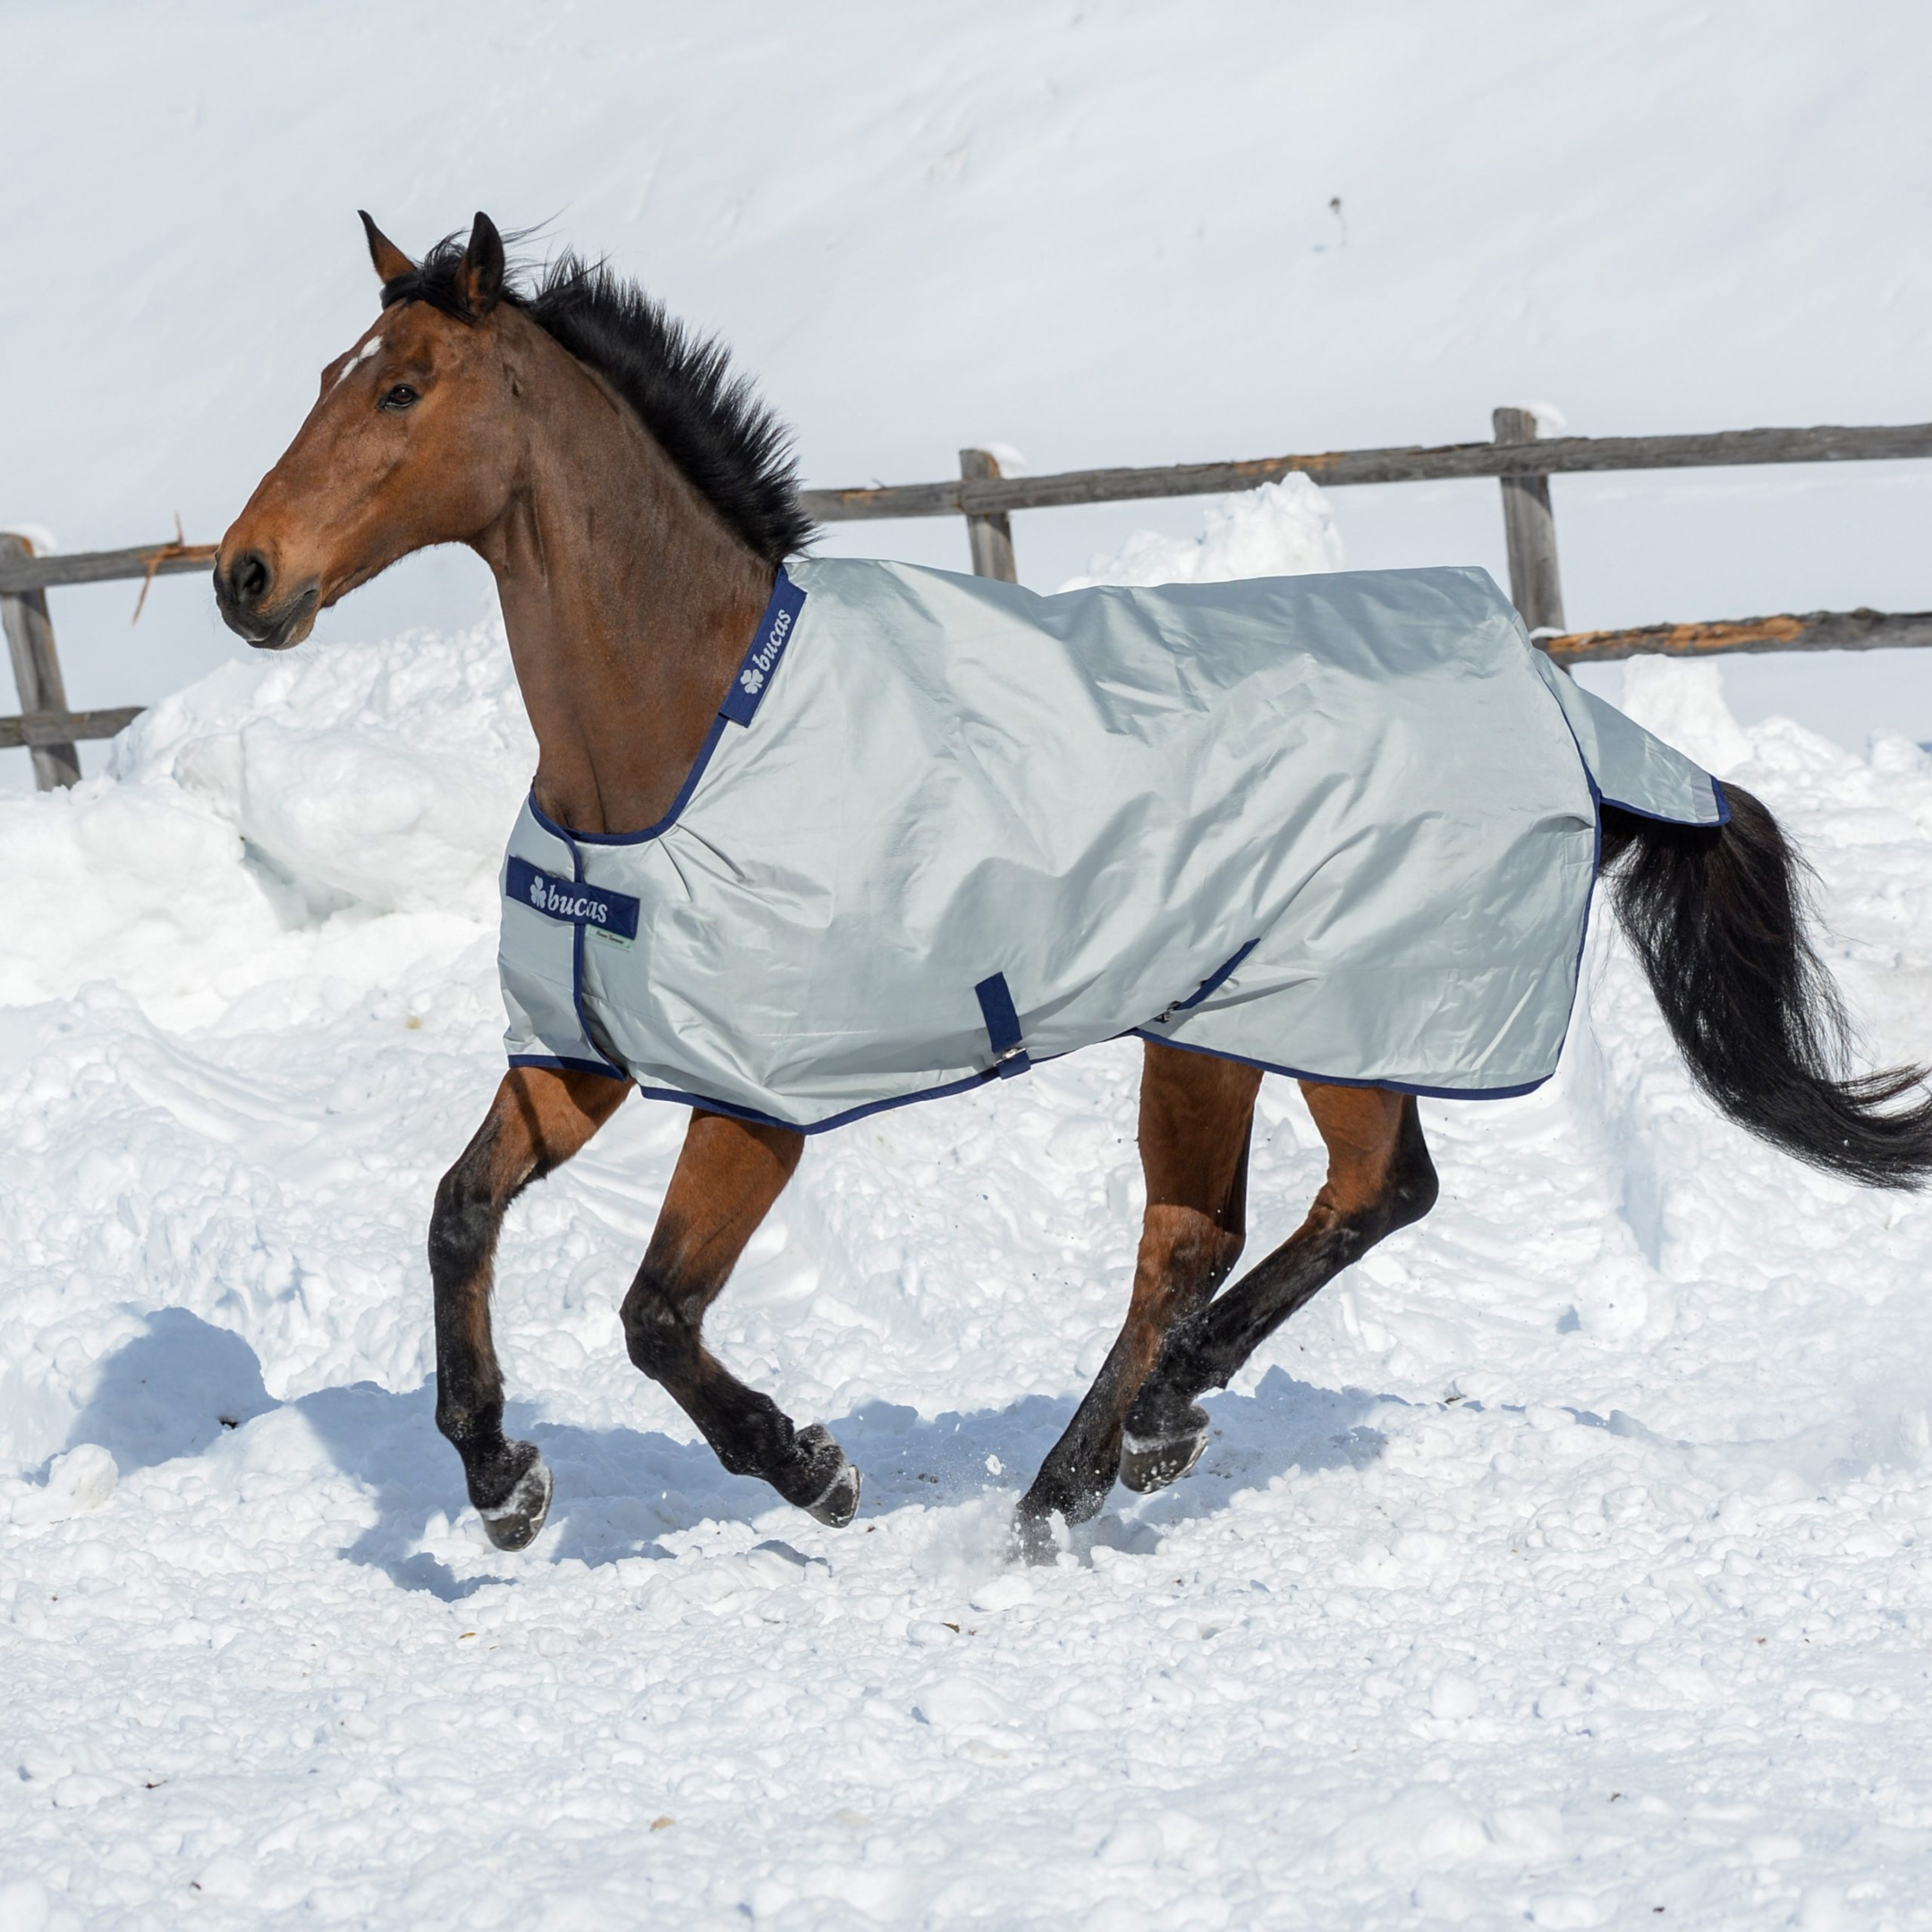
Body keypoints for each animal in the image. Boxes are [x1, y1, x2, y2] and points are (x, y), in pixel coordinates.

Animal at [215, 212, 1932, 1562]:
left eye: (402, 386)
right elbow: (458, 1214)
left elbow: (654, 1314)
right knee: (1227, 1226)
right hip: (1230, 1025)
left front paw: (812, 1470)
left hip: (1307, 1011)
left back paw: (1137, 1437)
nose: (244, 578)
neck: (684, 733)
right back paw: (1084, 1478)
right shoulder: (585, 1054)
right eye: (323, 379)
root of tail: (1561, 701)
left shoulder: (757, 1102)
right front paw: (501, 1480)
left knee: (1335, 1204)